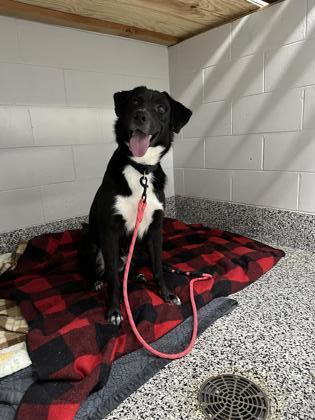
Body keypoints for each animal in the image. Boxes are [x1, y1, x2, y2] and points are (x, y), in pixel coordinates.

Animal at [79, 87, 193, 326]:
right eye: (135, 101)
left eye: (161, 109)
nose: (140, 116)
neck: (141, 170)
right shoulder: (110, 232)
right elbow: (113, 279)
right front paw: (114, 310)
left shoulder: (155, 229)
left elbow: (158, 267)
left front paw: (167, 294)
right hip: (91, 245)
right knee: (101, 272)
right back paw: (96, 282)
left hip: (138, 247)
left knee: (130, 269)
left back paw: (137, 275)